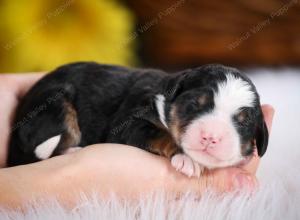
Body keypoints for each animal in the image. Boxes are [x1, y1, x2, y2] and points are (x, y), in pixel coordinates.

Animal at [7, 62, 270, 177]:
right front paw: (186, 159)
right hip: (56, 103)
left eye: (243, 122)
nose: (211, 137)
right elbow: (159, 133)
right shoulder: (128, 123)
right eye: (194, 105)